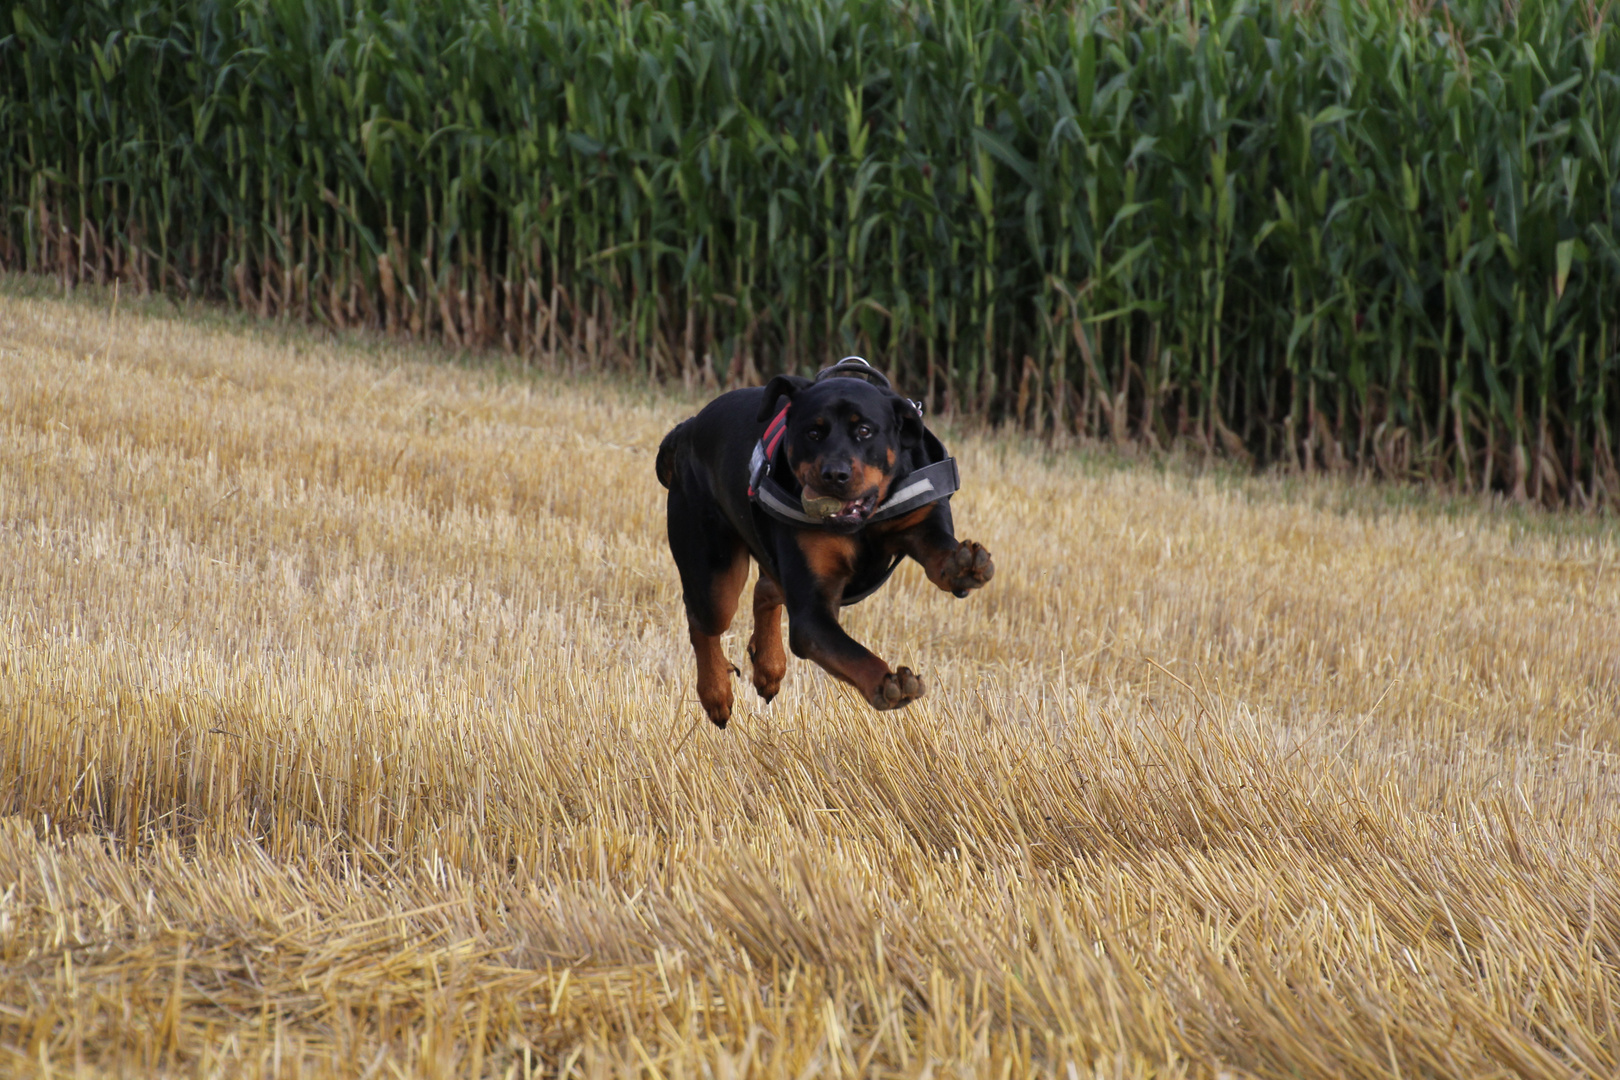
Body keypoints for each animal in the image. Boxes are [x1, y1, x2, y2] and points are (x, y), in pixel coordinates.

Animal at [654, 361, 984, 725]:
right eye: (813, 433)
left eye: (865, 431)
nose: (835, 474)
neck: (864, 521)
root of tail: (687, 428)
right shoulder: (812, 610)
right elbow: (847, 650)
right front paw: (886, 682)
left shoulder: (921, 519)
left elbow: (940, 549)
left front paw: (963, 564)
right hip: (713, 570)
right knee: (704, 620)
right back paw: (715, 692)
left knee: (765, 589)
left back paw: (769, 667)